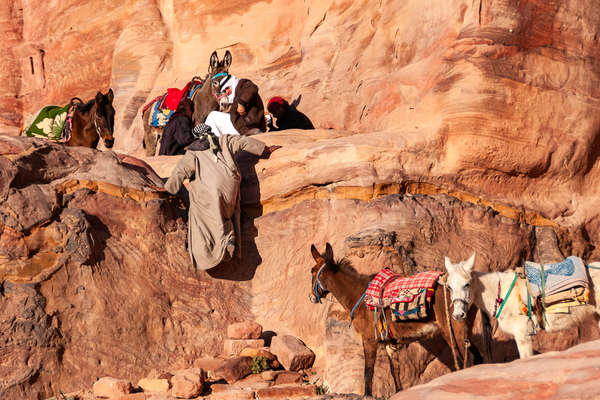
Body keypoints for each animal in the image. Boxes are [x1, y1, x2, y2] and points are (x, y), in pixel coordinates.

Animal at [312, 242, 486, 396]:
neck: (359, 295)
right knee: (477, 357)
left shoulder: (369, 339)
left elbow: (368, 370)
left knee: (466, 359)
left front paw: (367, 394)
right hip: (464, 329)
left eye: (312, 272)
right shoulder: (390, 343)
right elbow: (394, 371)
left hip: (453, 329)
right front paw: (399, 392)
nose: (311, 296)